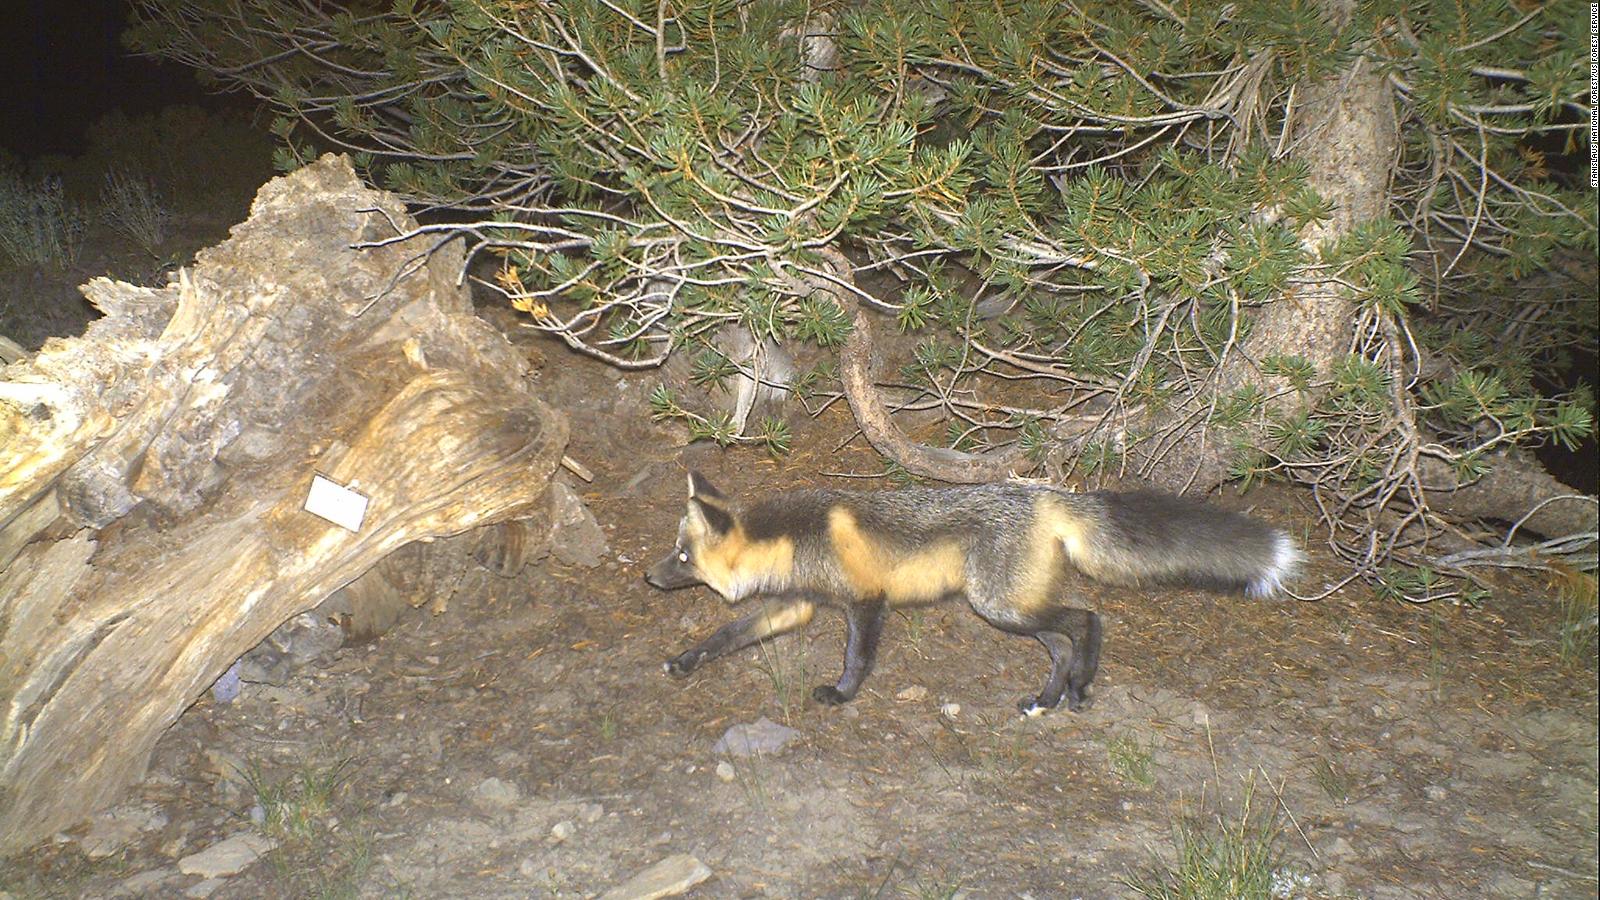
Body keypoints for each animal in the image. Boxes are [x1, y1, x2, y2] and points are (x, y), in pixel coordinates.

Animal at [640, 470, 1299, 714]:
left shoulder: (866, 602)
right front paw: (684, 661)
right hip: (1011, 609)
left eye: (680, 557)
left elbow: (857, 657)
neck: (794, 538)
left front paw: (843, 695)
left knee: (1088, 619)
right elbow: (727, 635)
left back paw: (1081, 688)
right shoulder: (795, 604)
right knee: (1061, 640)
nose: (649, 578)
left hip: (998, 606)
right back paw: (1047, 698)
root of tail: (1046, 493)